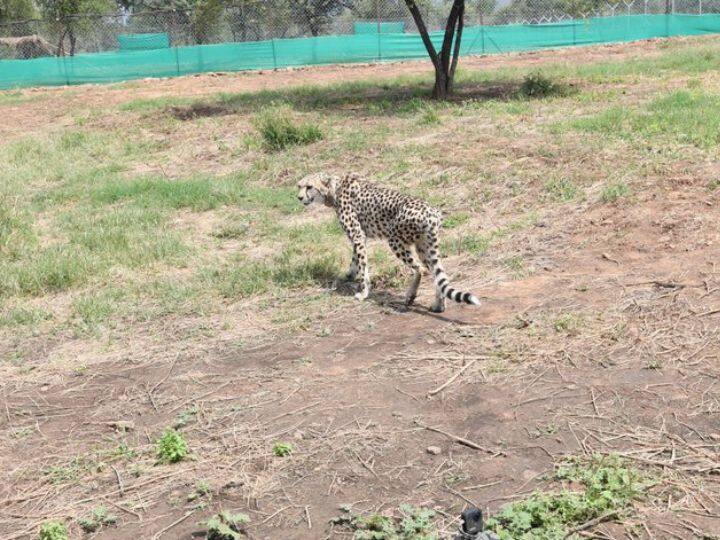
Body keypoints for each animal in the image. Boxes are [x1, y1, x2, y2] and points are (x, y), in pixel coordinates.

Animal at [297, 172, 480, 313]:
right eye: (299, 186)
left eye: (309, 187)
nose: (299, 197)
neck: (334, 188)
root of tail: (432, 212)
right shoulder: (361, 237)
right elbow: (356, 259)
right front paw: (349, 275)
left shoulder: (357, 235)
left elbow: (363, 266)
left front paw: (364, 293)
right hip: (424, 246)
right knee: (438, 275)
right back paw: (438, 305)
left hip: (395, 240)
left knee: (419, 270)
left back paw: (410, 297)